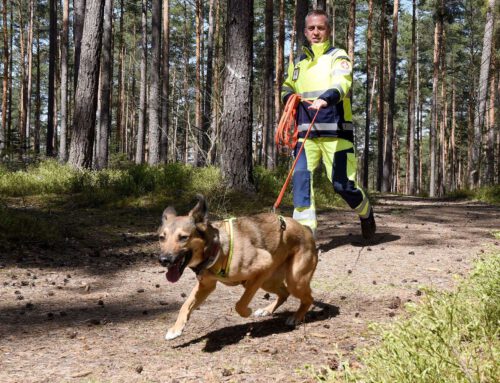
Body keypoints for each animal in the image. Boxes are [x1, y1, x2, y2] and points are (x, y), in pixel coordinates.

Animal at [158, 196, 318, 340]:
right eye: (161, 237)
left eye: (183, 237)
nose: (163, 260)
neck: (216, 247)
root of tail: (306, 229)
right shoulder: (206, 286)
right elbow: (185, 305)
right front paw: (176, 329)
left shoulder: (263, 265)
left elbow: (240, 305)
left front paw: (247, 312)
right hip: (268, 282)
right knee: (284, 293)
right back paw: (267, 310)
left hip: (294, 280)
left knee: (308, 298)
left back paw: (296, 317)